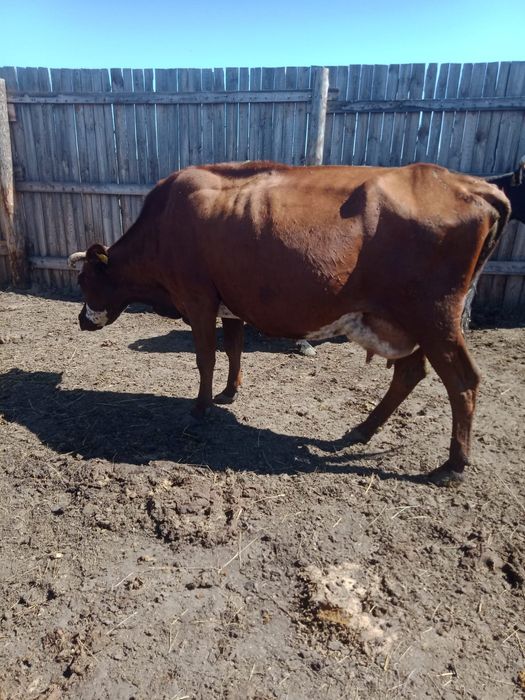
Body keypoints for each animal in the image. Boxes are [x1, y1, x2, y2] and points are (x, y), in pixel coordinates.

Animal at [68, 158, 525, 486]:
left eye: (83, 280)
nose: (80, 321)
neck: (163, 224)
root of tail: (471, 185)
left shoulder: (197, 300)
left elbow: (206, 358)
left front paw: (200, 407)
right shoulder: (230, 303)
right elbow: (234, 349)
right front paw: (230, 392)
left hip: (433, 318)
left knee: (462, 382)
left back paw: (453, 466)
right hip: (400, 321)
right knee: (409, 373)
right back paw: (361, 430)